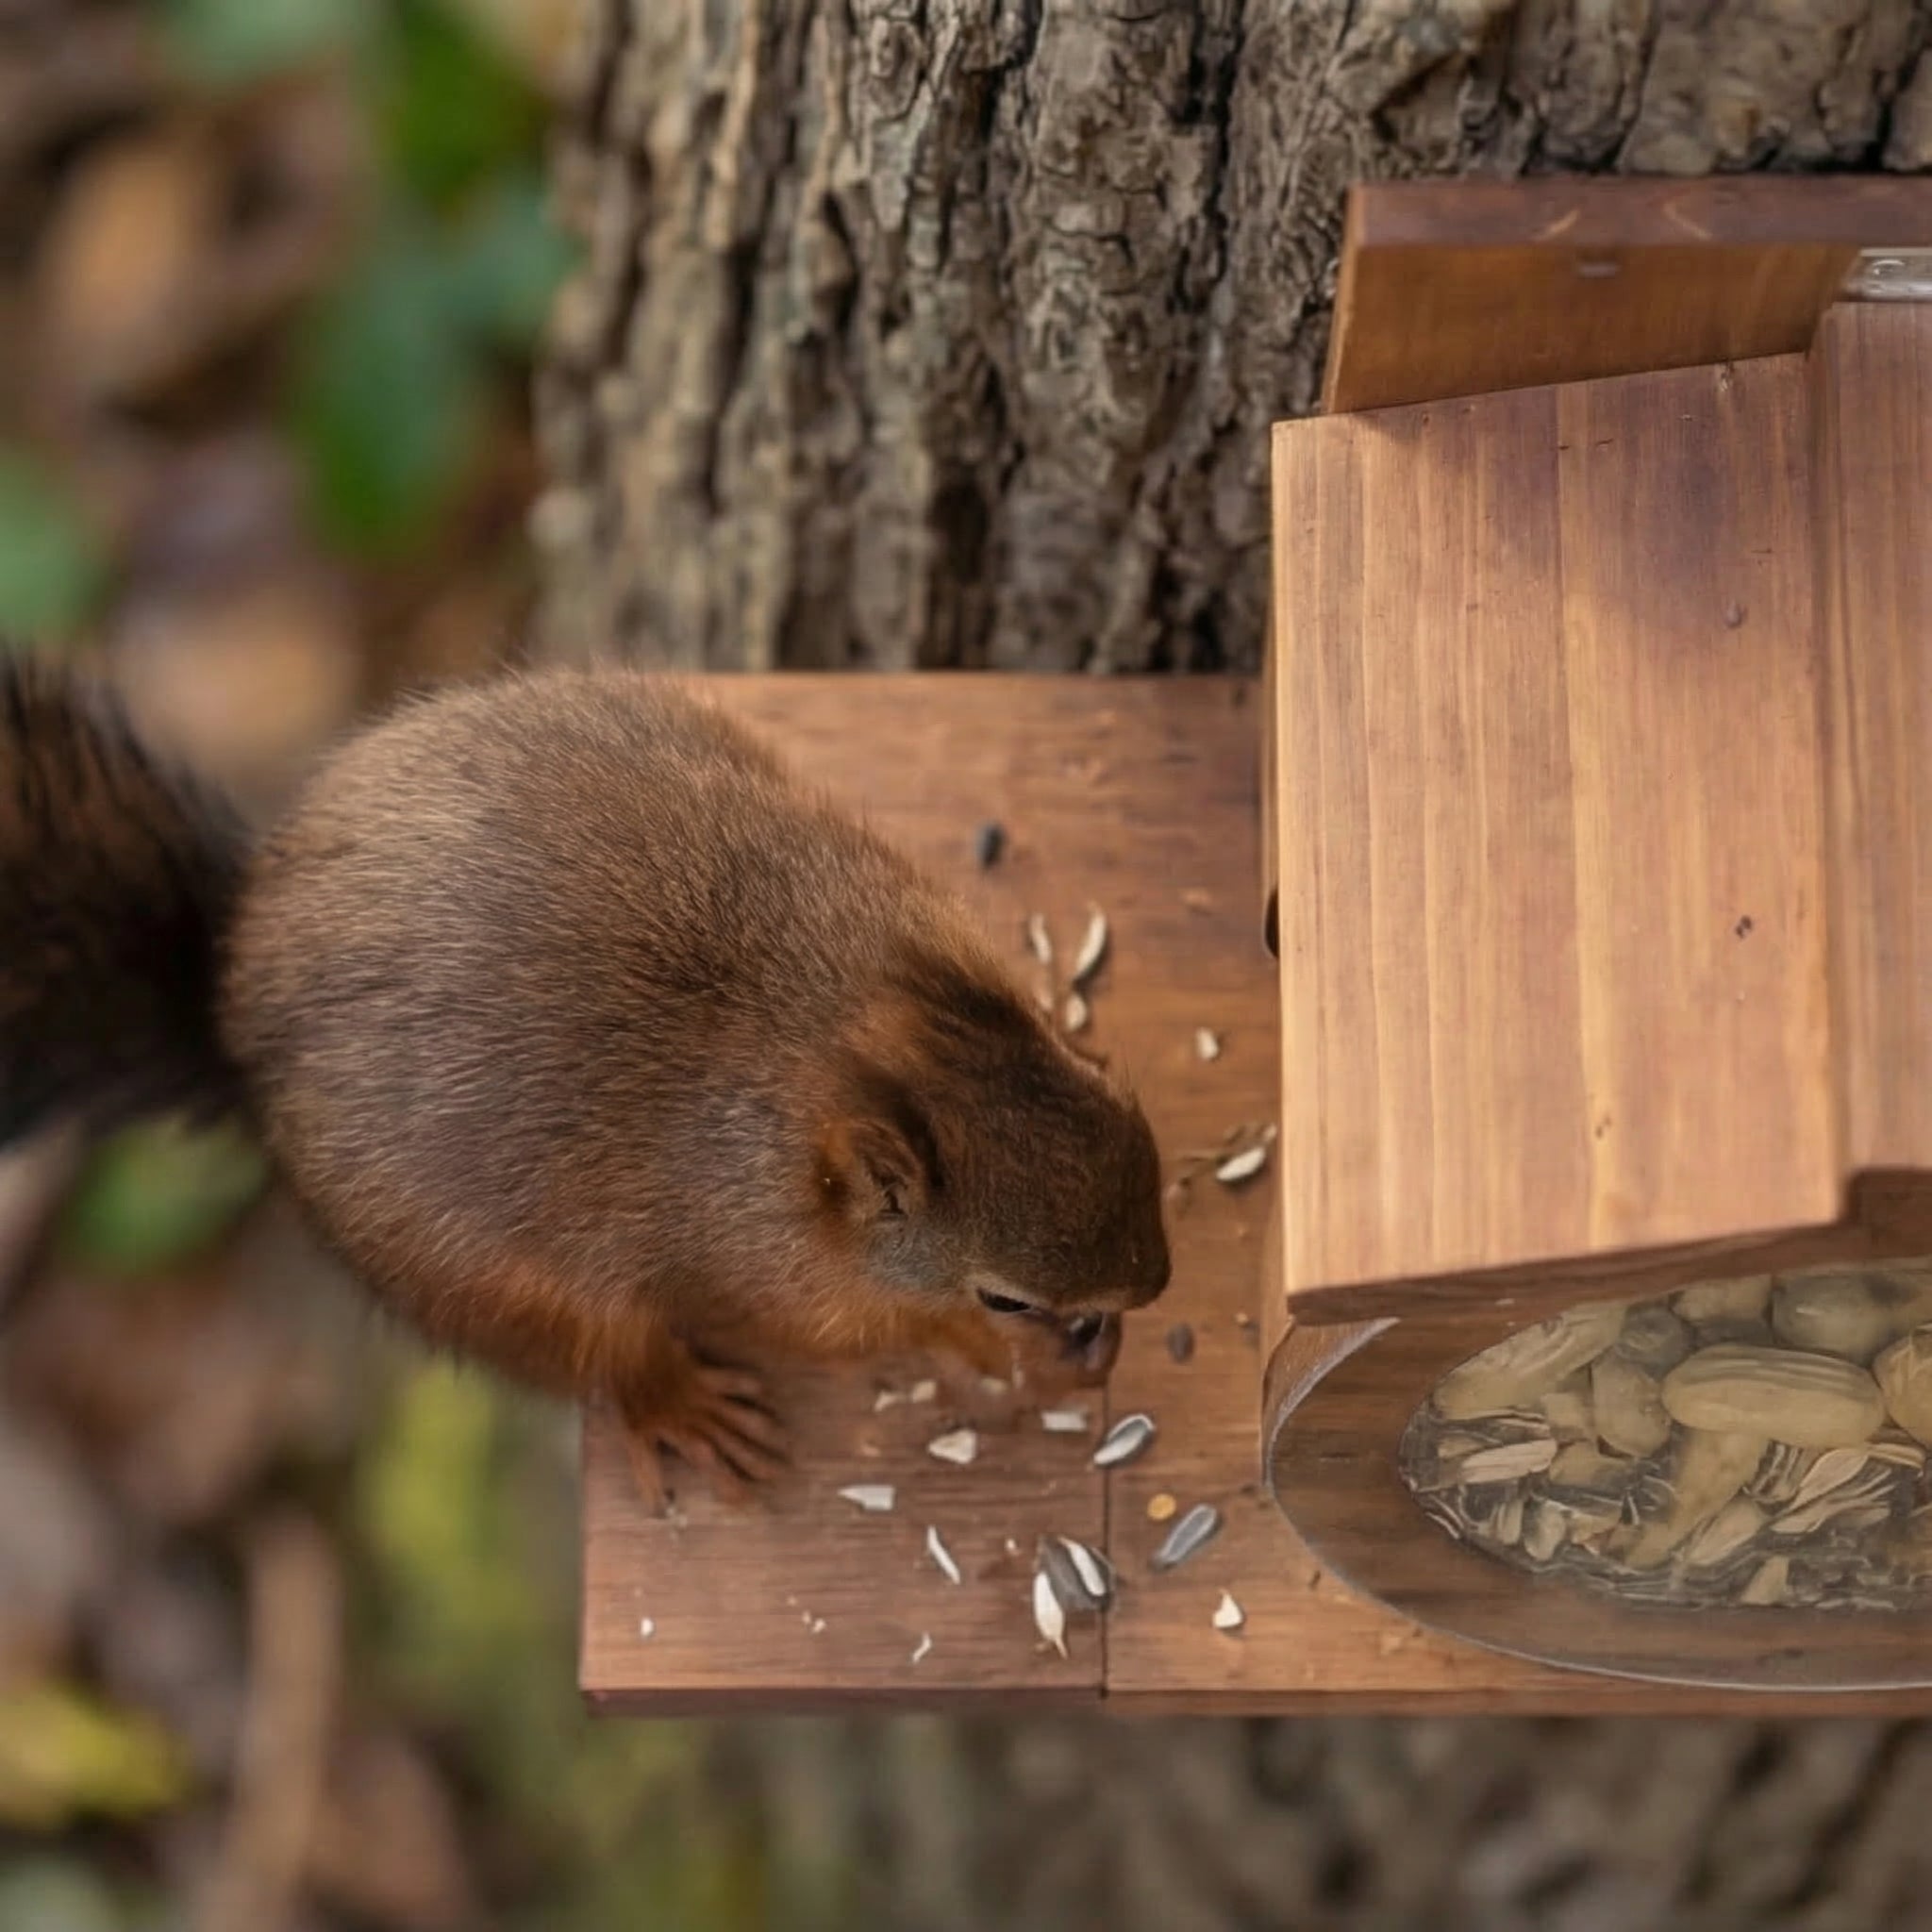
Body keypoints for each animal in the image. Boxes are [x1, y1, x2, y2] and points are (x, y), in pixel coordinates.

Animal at [1, 662, 1171, 1508]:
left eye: (1111, 1100)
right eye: (1002, 1293)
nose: (1154, 1281)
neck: (839, 1038)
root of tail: (234, 1010)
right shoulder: (762, 1269)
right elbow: (862, 1330)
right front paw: (1028, 1358)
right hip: (479, 1284)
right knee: (595, 1361)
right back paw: (679, 1406)